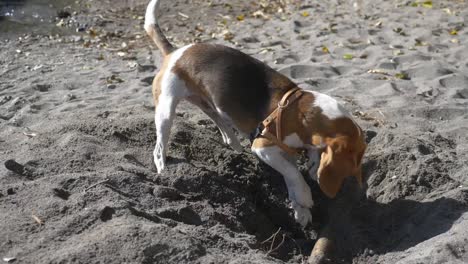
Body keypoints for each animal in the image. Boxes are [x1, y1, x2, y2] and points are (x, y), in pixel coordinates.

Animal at [144, 0, 368, 227]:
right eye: (355, 159)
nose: (358, 183)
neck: (301, 114)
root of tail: (174, 52)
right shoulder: (263, 147)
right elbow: (293, 173)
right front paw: (304, 197)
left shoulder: (284, 151)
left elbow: (291, 175)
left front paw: (300, 207)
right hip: (166, 109)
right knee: (159, 148)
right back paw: (164, 172)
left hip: (207, 104)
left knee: (220, 121)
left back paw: (233, 144)